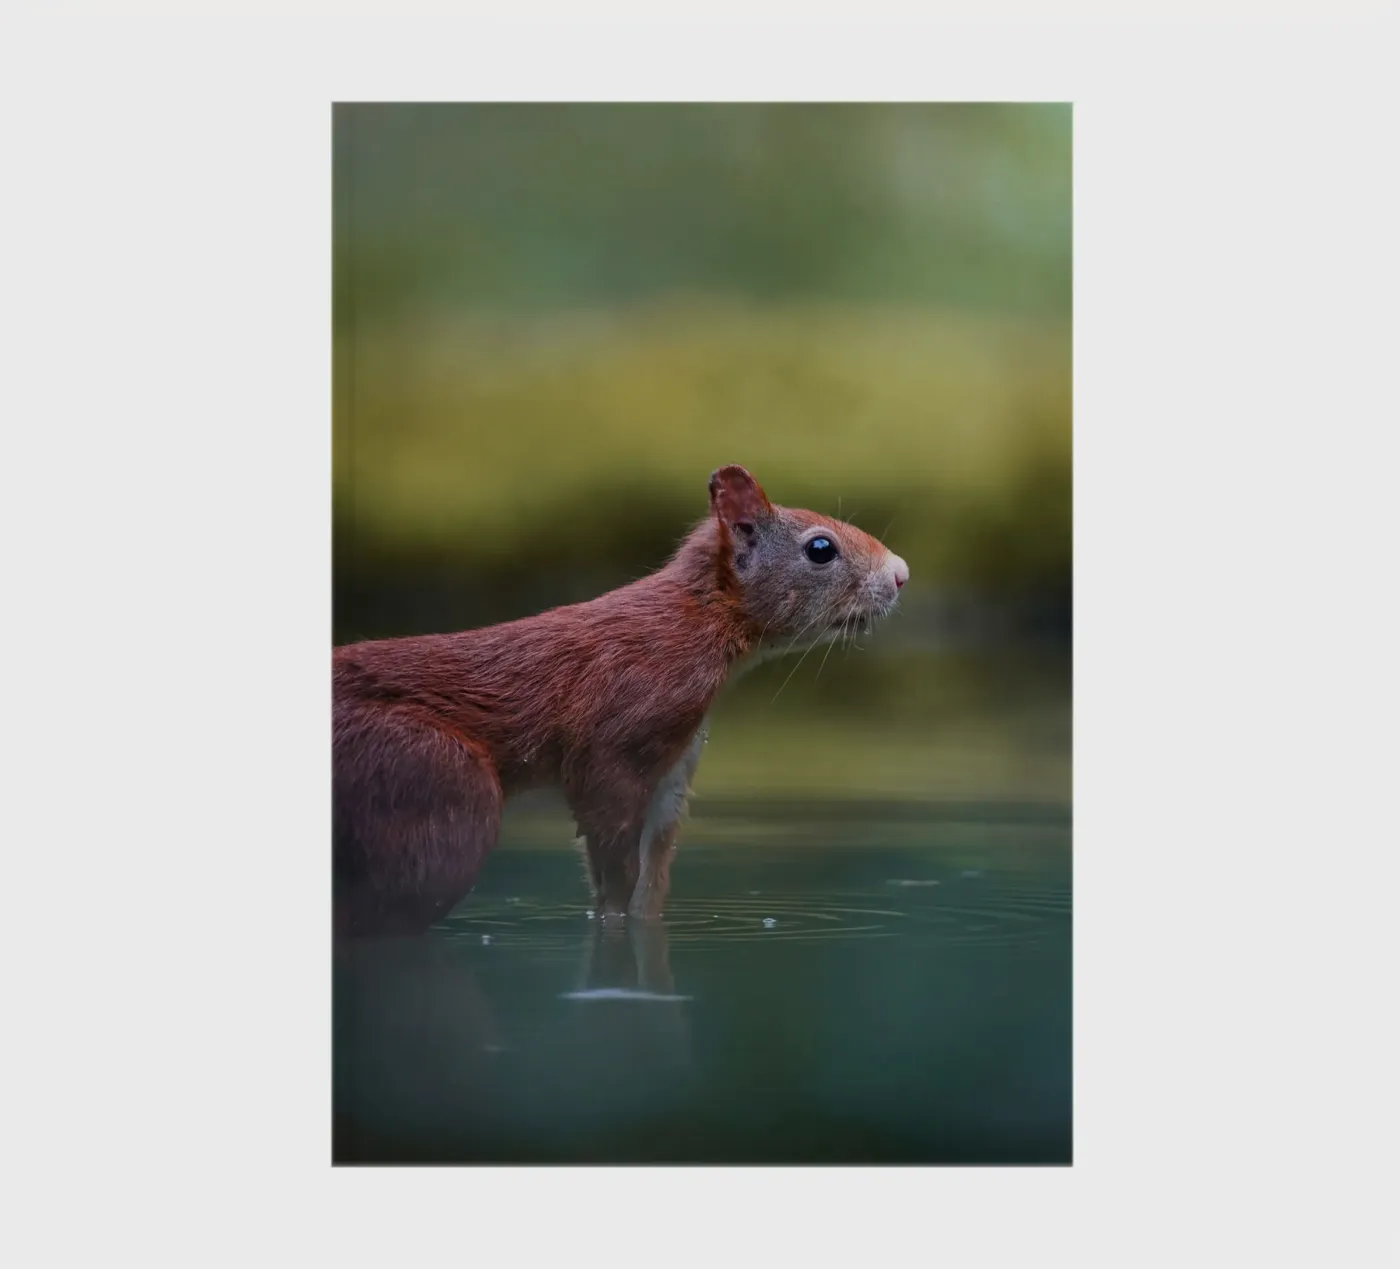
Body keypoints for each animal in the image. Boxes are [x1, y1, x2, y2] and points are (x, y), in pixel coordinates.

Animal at [333, 464, 908, 938]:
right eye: (820, 548)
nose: (901, 574)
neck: (695, 624)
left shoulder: (675, 767)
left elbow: (651, 878)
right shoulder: (617, 733)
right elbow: (613, 859)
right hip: (432, 782)